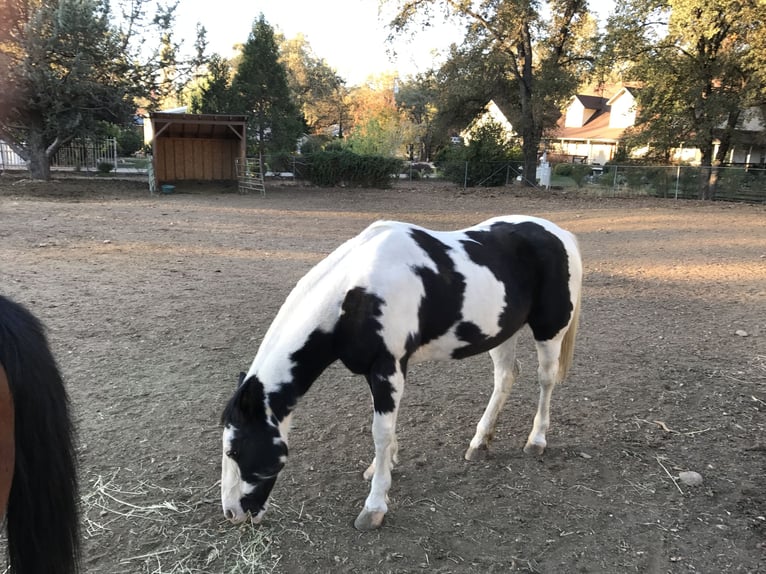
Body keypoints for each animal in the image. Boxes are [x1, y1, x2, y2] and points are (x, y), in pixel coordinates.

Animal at [221, 215, 582, 531]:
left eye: (233, 450)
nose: (232, 513)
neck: (355, 296)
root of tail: (560, 234)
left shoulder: (387, 368)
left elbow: (380, 432)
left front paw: (374, 507)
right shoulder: (378, 373)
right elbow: (386, 429)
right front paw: (381, 467)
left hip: (549, 329)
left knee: (545, 378)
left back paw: (536, 440)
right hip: (501, 332)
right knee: (506, 376)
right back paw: (480, 443)